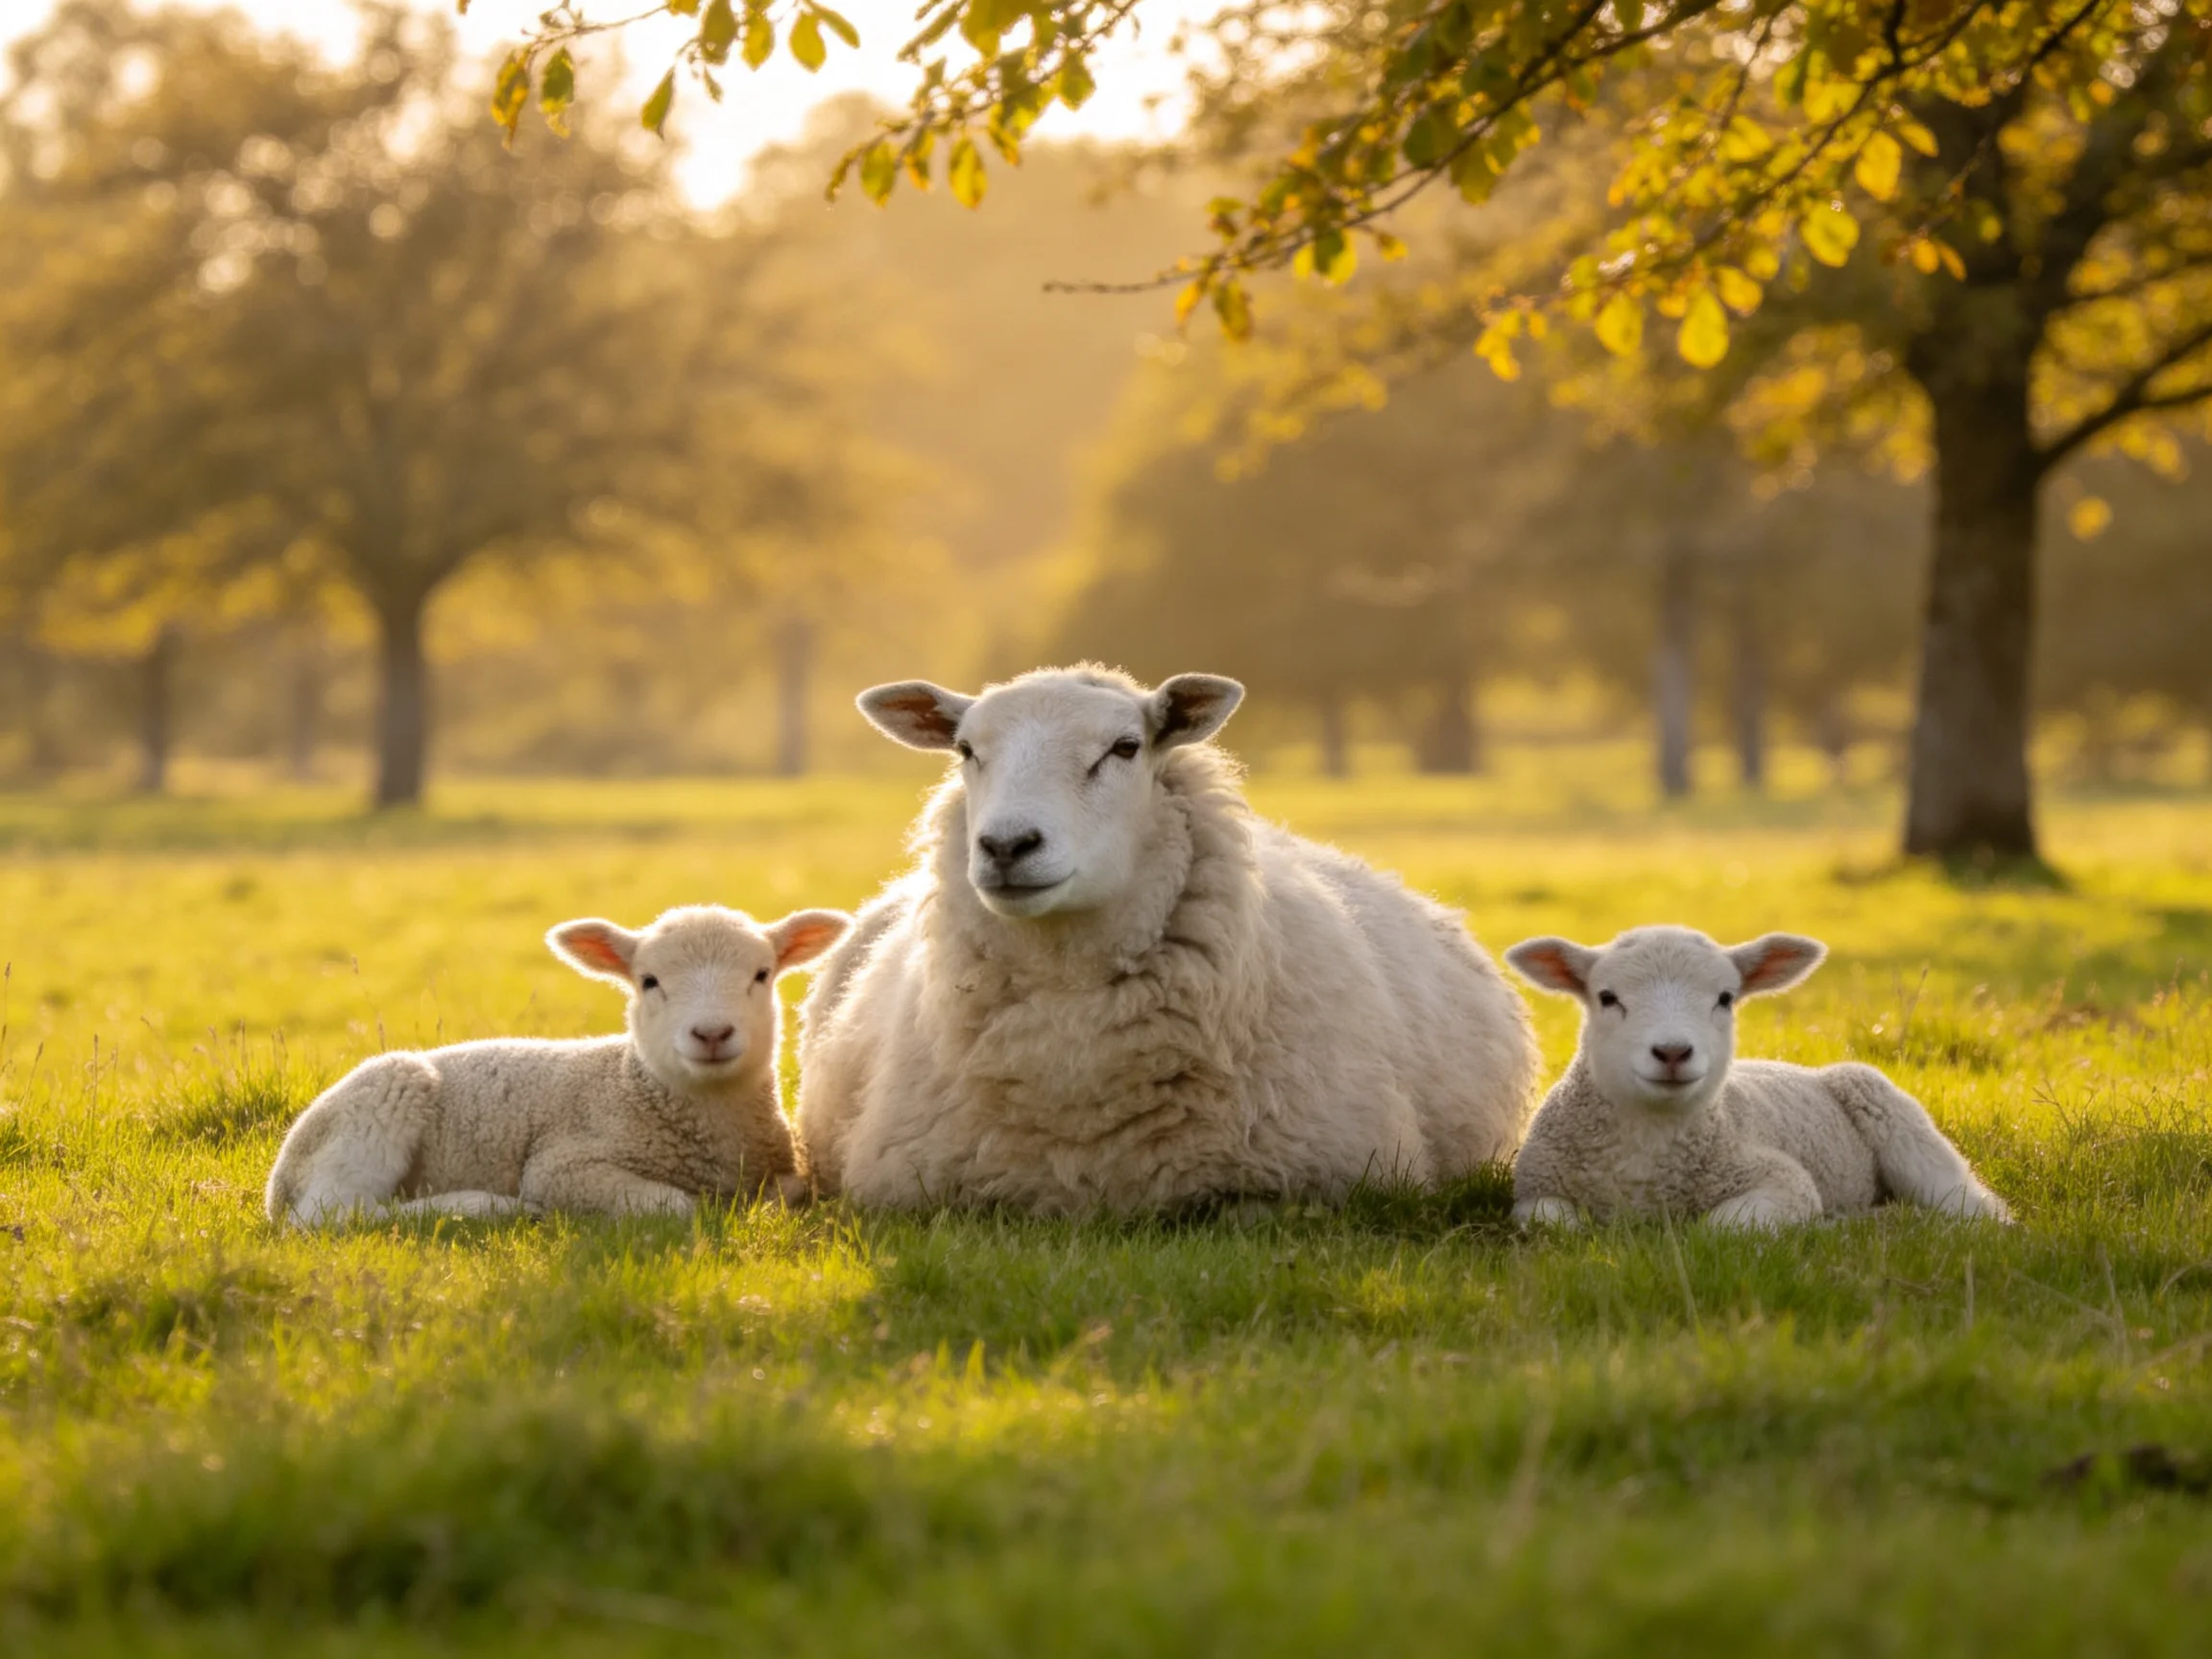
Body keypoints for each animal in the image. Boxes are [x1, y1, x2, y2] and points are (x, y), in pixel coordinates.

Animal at [265, 904, 850, 1227]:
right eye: (649, 981)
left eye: (762, 974)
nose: (711, 1034)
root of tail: (277, 1183)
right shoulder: (563, 1166)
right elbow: (674, 1206)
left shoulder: (783, 1167)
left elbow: (789, 1194)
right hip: (378, 1104)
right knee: (329, 1214)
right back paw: (485, 1207)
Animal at [1504, 925, 2012, 1230]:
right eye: (1607, 998)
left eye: (1725, 998)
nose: (1673, 1052)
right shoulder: (1537, 1188)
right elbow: (1556, 1224)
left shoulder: (1782, 1181)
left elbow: (1718, 1229)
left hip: (1894, 1117)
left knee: (1963, 1199)